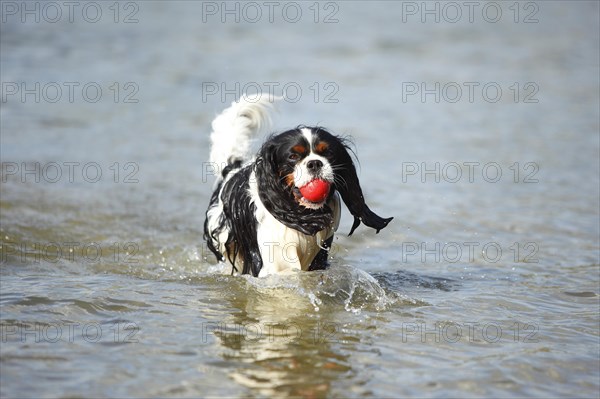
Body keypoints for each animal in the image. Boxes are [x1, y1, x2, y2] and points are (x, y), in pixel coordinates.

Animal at [205, 96, 394, 278]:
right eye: (293, 156)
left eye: (328, 153)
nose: (315, 163)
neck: (300, 212)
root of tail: (232, 168)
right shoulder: (275, 262)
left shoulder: (318, 257)